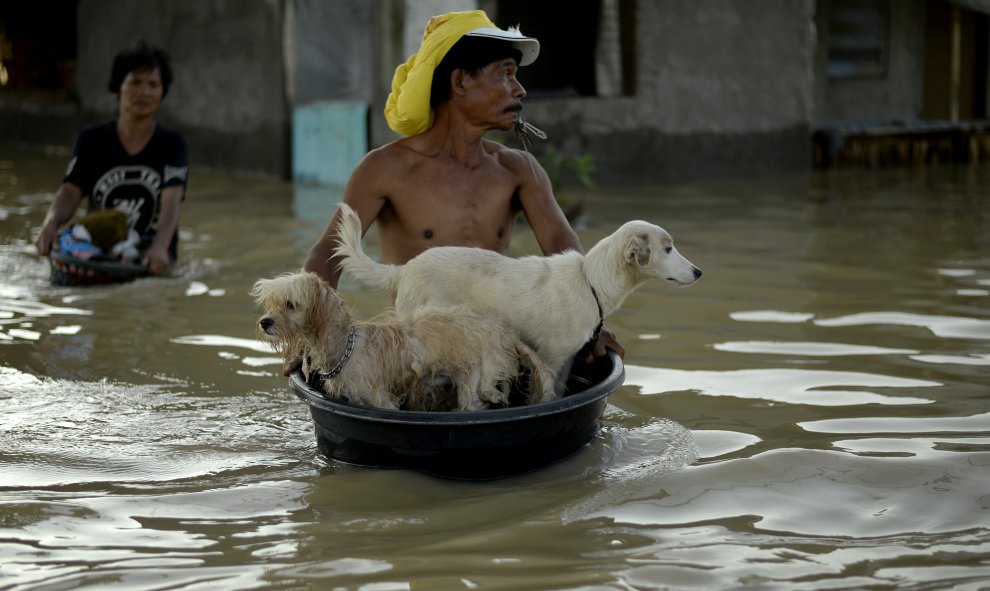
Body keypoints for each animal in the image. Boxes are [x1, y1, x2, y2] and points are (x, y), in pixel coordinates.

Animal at [250, 272, 560, 412]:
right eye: (271, 304)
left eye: (291, 304)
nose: (265, 322)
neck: (346, 348)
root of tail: (506, 333)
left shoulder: (381, 402)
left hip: (476, 385)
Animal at [336, 201, 704, 390]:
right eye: (668, 248)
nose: (699, 272)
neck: (590, 281)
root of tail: (404, 269)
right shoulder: (552, 357)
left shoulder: (566, 360)